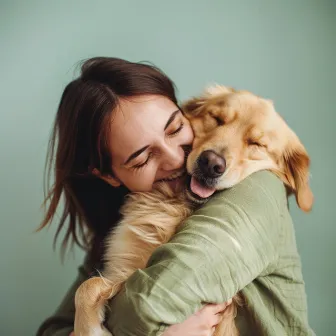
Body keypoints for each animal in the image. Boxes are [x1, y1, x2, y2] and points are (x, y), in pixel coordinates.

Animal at [73, 84, 312, 336]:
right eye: (217, 118)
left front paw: (87, 329)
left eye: (257, 144)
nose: (211, 163)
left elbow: (89, 286)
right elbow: (87, 286)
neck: (173, 200)